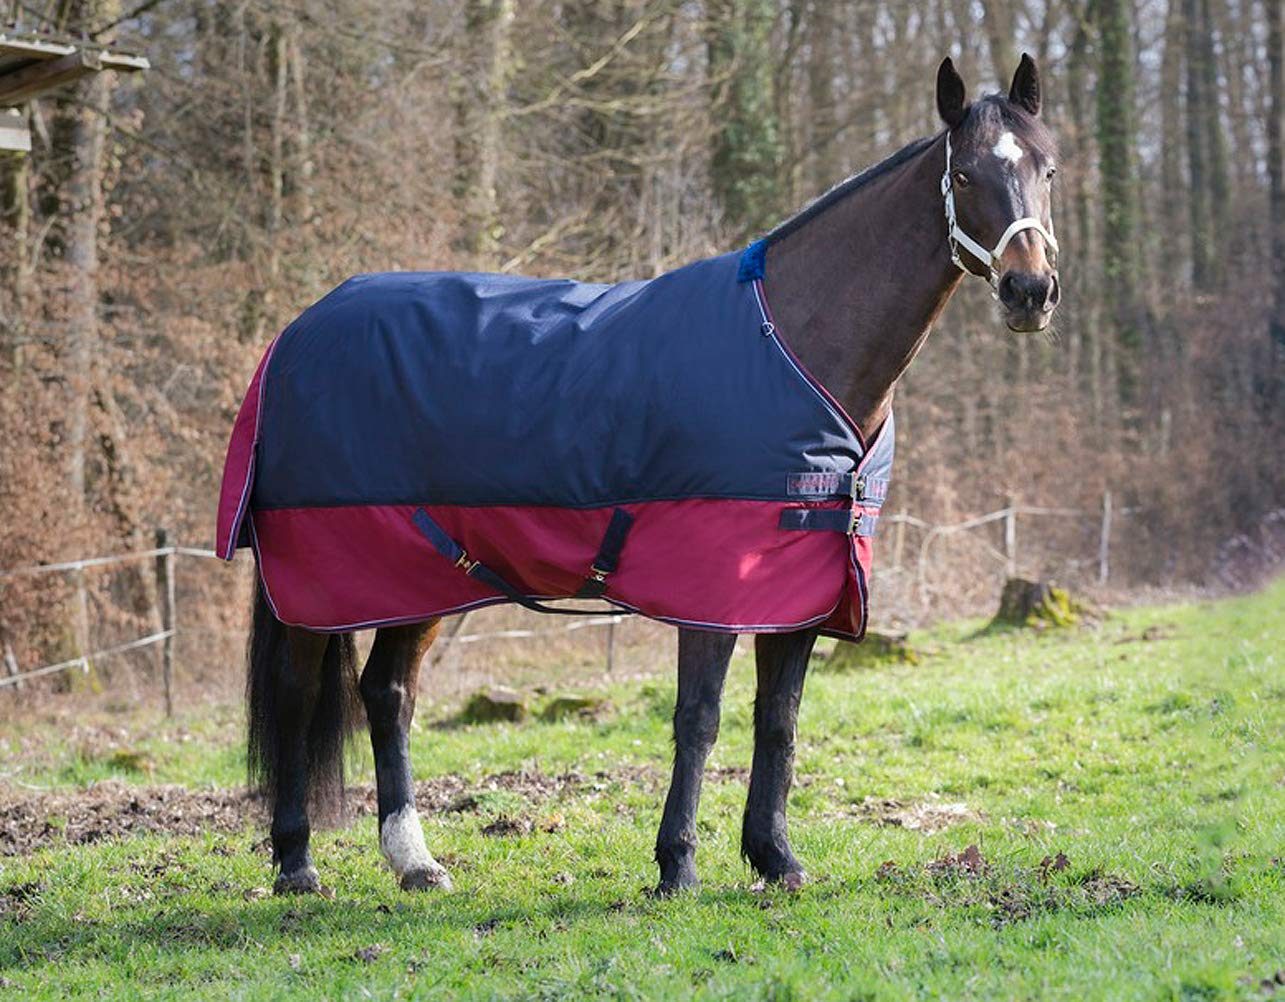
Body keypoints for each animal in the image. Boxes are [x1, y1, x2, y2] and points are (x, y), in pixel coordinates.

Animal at [231, 55, 1060, 896]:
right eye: (964, 174)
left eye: (1047, 169)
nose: (1029, 291)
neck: (793, 341)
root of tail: (295, 334)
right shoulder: (713, 587)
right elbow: (698, 718)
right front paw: (677, 865)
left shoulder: (801, 584)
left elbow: (778, 719)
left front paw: (774, 857)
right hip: (326, 581)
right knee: (300, 695)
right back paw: (296, 862)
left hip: (425, 573)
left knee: (387, 692)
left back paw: (414, 861)